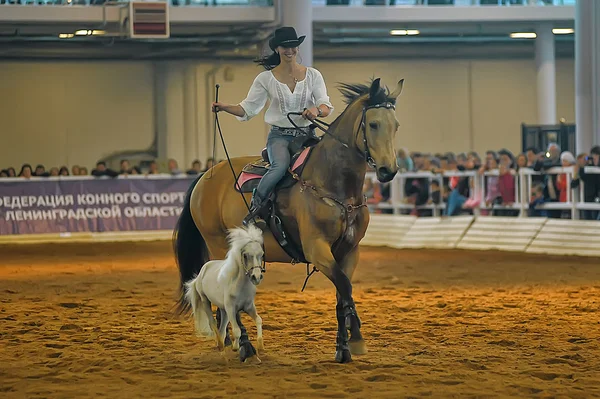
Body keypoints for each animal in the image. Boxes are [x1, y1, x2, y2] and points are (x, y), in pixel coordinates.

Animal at [185, 225, 264, 362]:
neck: (240, 285)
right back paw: (221, 346)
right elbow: (237, 330)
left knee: (222, 329)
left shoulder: (248, 307)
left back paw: (222, 350)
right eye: (245, 255)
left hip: (223, 309)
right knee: (213, 324)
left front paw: (260, 346)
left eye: (261, 254)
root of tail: (202, 271)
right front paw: (236, 348)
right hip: (206, 301)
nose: (256, 277)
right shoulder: (231, 308)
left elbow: (258, 320)